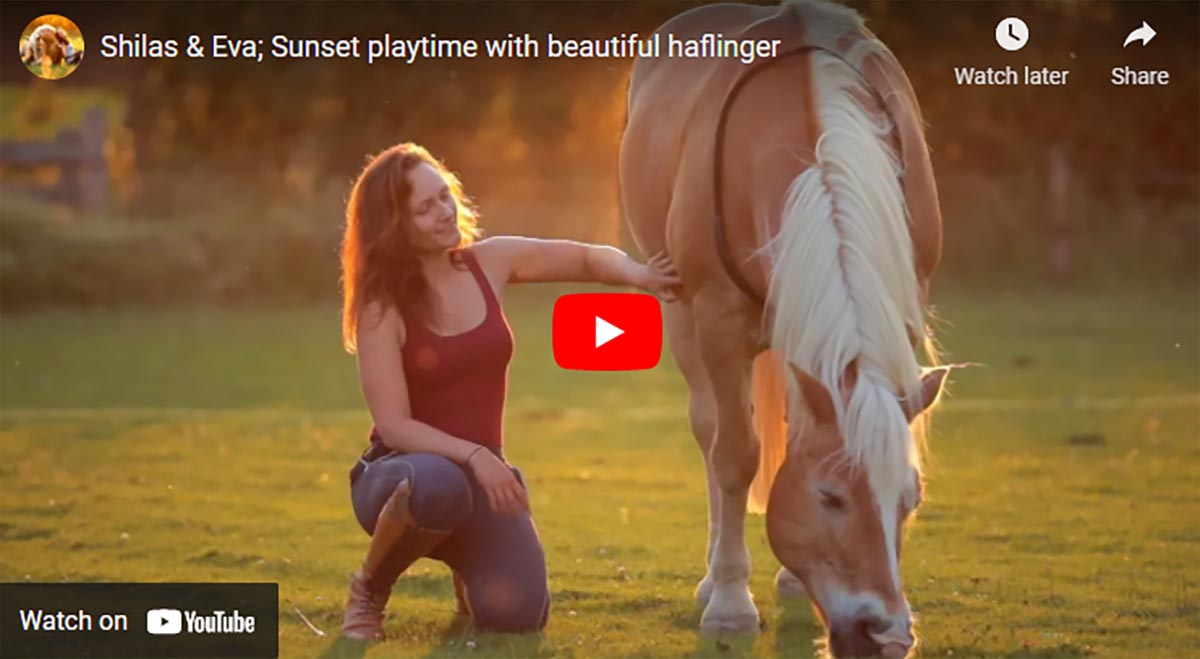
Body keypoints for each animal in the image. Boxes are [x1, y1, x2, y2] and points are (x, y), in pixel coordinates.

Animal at [624, 1, 950, 657]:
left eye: (911, 499)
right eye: (829, 497)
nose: (885, 635)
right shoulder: (718, 318)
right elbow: (734, 455)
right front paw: (729, 604)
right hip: (681, 313)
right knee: (711, 431)